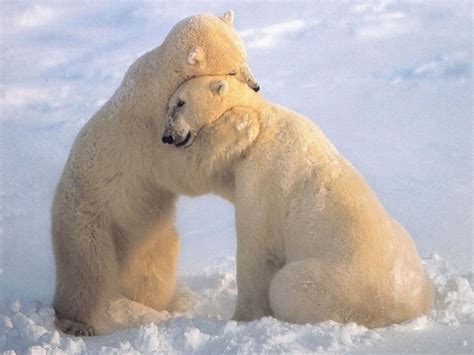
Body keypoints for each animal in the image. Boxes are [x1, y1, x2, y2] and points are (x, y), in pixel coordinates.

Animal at [51, 9, 260, 336]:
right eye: (230, 70)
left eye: (244, 57)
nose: (255, 87)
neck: (159, 81)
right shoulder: (151, 134)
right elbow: (186, 169)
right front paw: (241, 124)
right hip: (87, 223)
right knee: (88, 272)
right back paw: (79, 323)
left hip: (150, 236)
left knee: (154, 270)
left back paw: (165, 304)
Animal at [162, 76, 434, 330]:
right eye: (171, 103)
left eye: (180, 102)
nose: (167, 136)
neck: (266, 123)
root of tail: (403, 308)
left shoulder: (263, 177)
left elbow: (257, 248)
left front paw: (241, 317)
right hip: (402, 240)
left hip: (334, 284)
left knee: (284, 286)